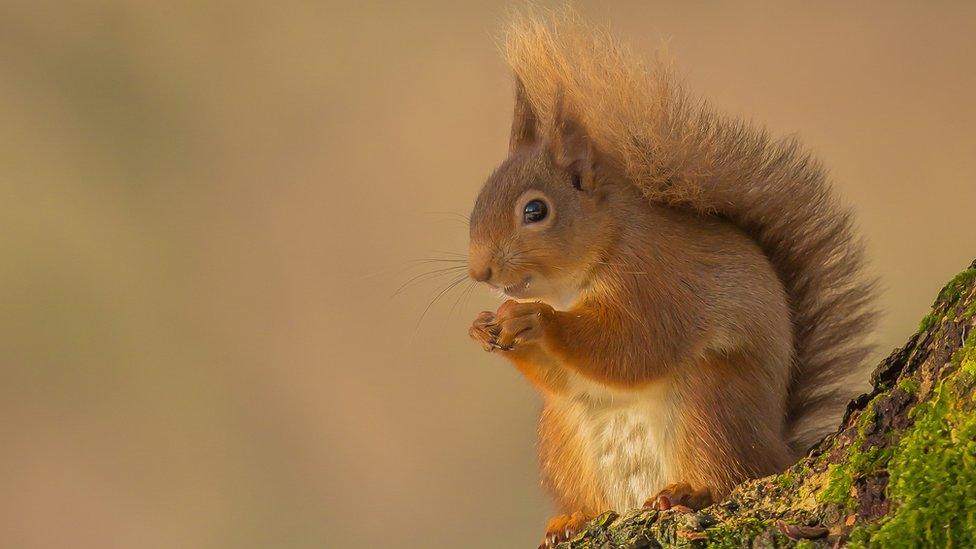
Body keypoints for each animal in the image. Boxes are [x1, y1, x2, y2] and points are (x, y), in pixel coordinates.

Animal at [466, 9, 876, 548]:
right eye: (477, 201)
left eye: (535, 210)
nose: (480, 272)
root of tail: (778, 449)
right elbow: (564, 376)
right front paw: (483, 327)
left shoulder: (657, 281)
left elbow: (634, 345)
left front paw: (536, 320)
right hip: (563, 436)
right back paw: (572, 518)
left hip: (711, 404)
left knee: (730, 475)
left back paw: (689, 492)